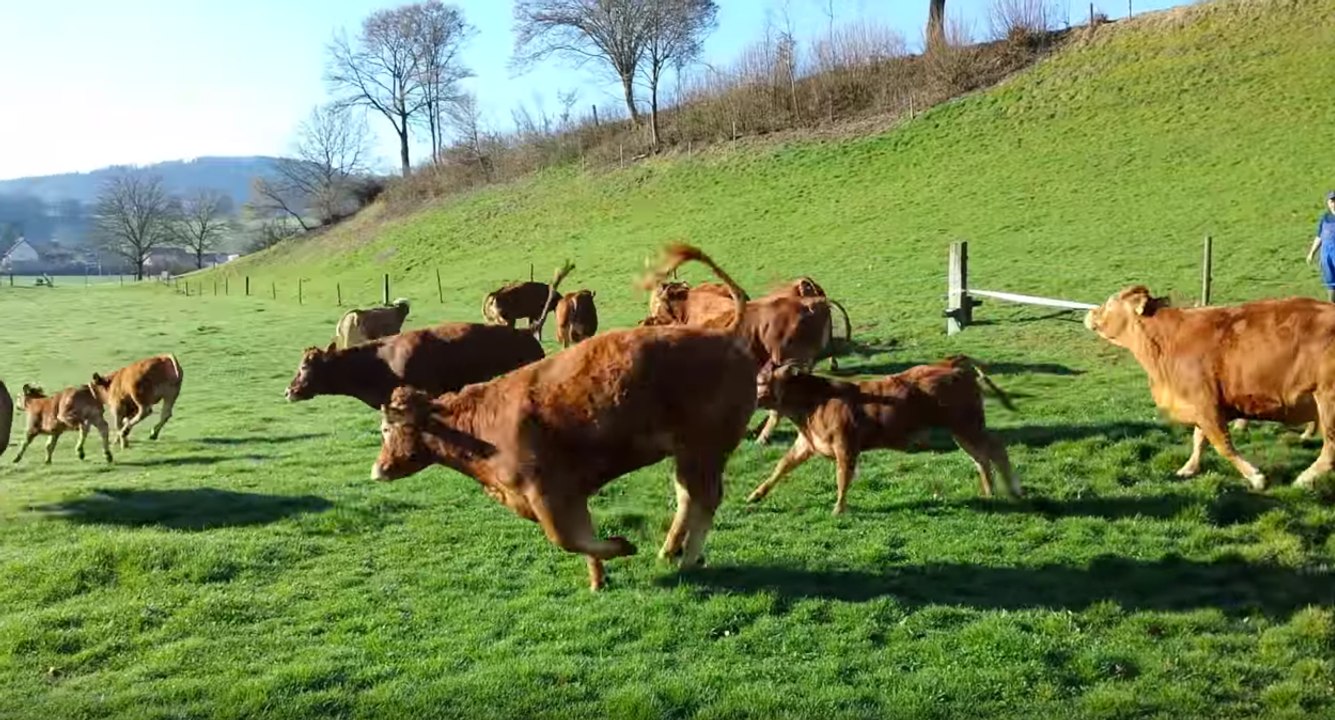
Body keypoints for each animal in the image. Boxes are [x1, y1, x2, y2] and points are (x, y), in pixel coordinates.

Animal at [372, 243, 757, 591]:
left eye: (388, 429)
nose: (378, 470)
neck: (480, 429)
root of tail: (722, 333)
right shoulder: (565, 497)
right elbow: (583, 540)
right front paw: (598, 579)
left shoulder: (550, 494)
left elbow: (566, 539)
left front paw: (621, 546)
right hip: (688, 453)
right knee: (688, 498)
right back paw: (670, 550)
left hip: (704, 448)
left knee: (704, 500)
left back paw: (688, 559)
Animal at [746, 357, 1020, 514]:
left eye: (760, 380)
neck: (815, 402)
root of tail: (954, 369)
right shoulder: (806, 443)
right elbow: (781, 467)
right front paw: (755, 495)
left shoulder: (846, 448)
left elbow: (842, 478)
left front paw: (838, 509)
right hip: (961, 431)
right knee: (981, 457)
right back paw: (989, 493)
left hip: (967, 425)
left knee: (996, 449)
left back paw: (1014, 491)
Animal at [1084, 286, 1335, 490]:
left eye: (1109, 302)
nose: (1090, 312)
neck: (1168, 340)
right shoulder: (1200, 405)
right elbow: (1199, 439)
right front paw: (1188, 468)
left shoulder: (1207, 404)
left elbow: (1222, 444)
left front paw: (1256, 477)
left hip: (1328, 401)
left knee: (1330, 450)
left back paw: (1304, 479)